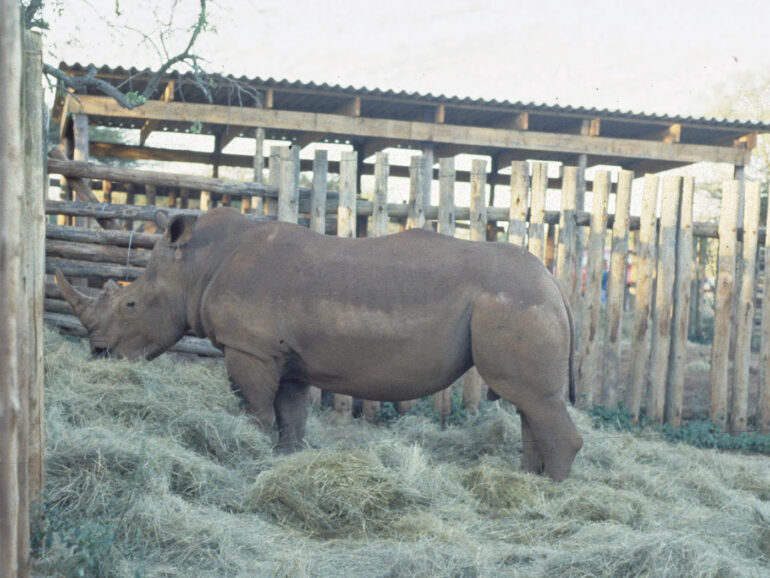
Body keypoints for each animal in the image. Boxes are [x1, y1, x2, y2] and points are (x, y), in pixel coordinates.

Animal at [56, 207, 583, 481]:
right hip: (522, 299)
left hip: (516, 300)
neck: (196, 264)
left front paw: (251, 456)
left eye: (130, 305)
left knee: (532, 399)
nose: (98, 353)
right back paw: (527, 479)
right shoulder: (286, 357)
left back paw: (552, 494)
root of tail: (556, 285)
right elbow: (290, 418)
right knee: (529, 402)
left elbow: (254, 410)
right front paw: (285, 461)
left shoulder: (250, 347)